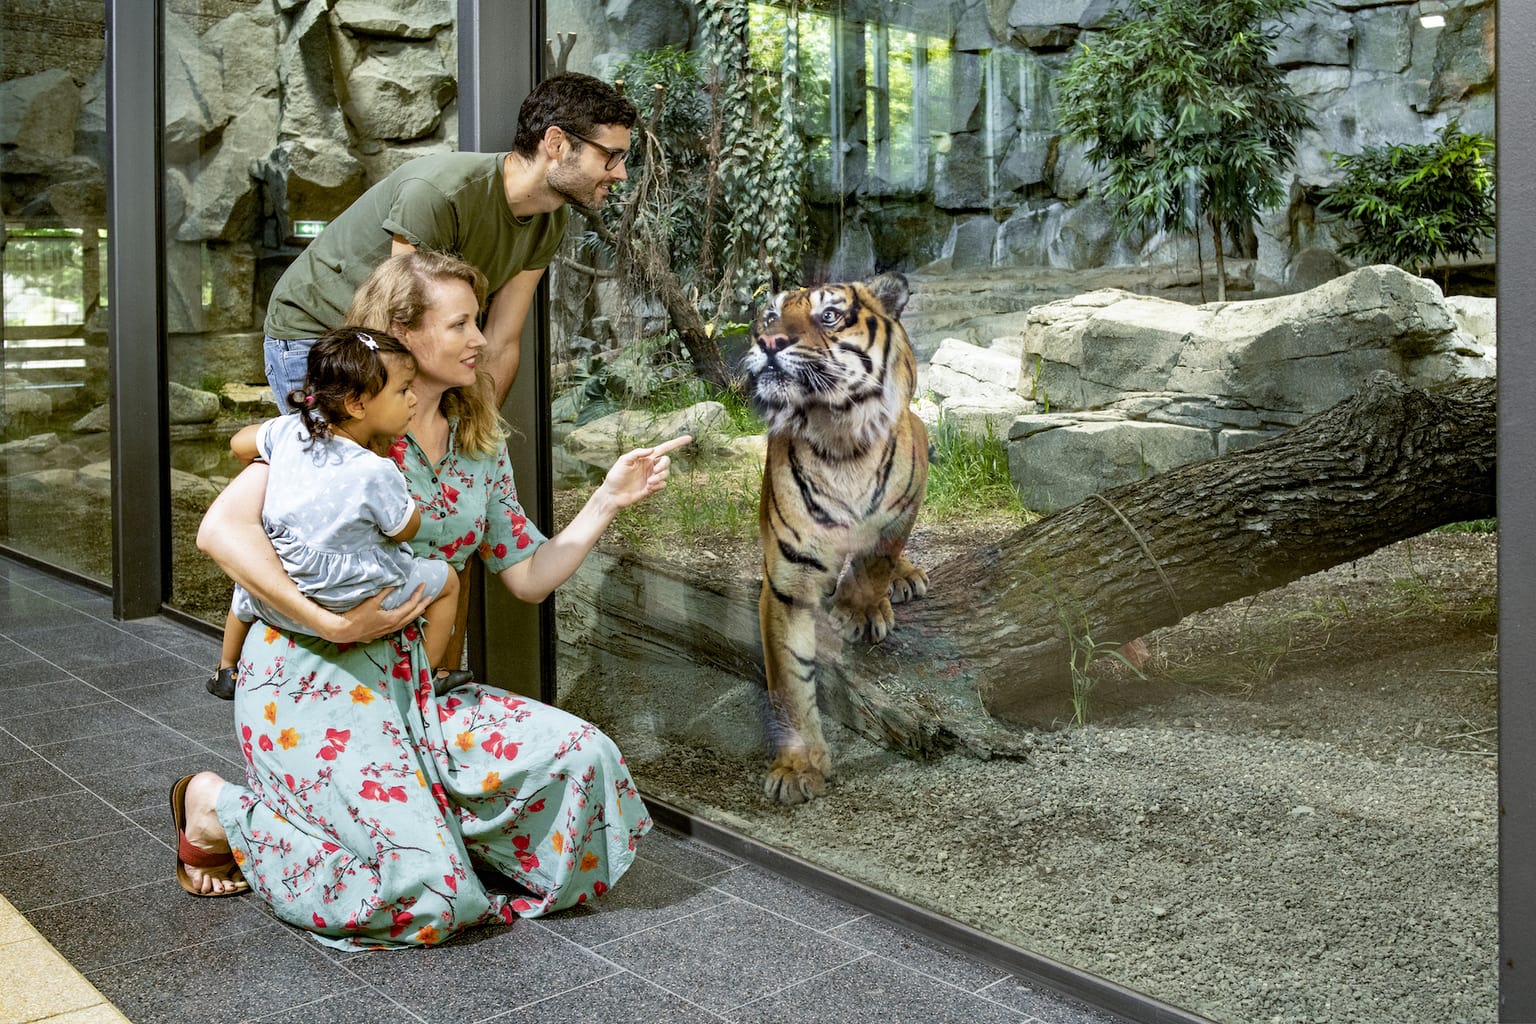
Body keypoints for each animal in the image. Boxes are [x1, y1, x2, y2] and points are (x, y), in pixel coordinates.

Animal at [740, 274, 921, 810]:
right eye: (769, 316)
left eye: (830, 315)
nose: (769, 342)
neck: (838, 437)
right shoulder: (787, 586)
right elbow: (791, 682)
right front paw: (798, 768)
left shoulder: (903, 503)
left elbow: (877, 558)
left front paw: (858, 611)